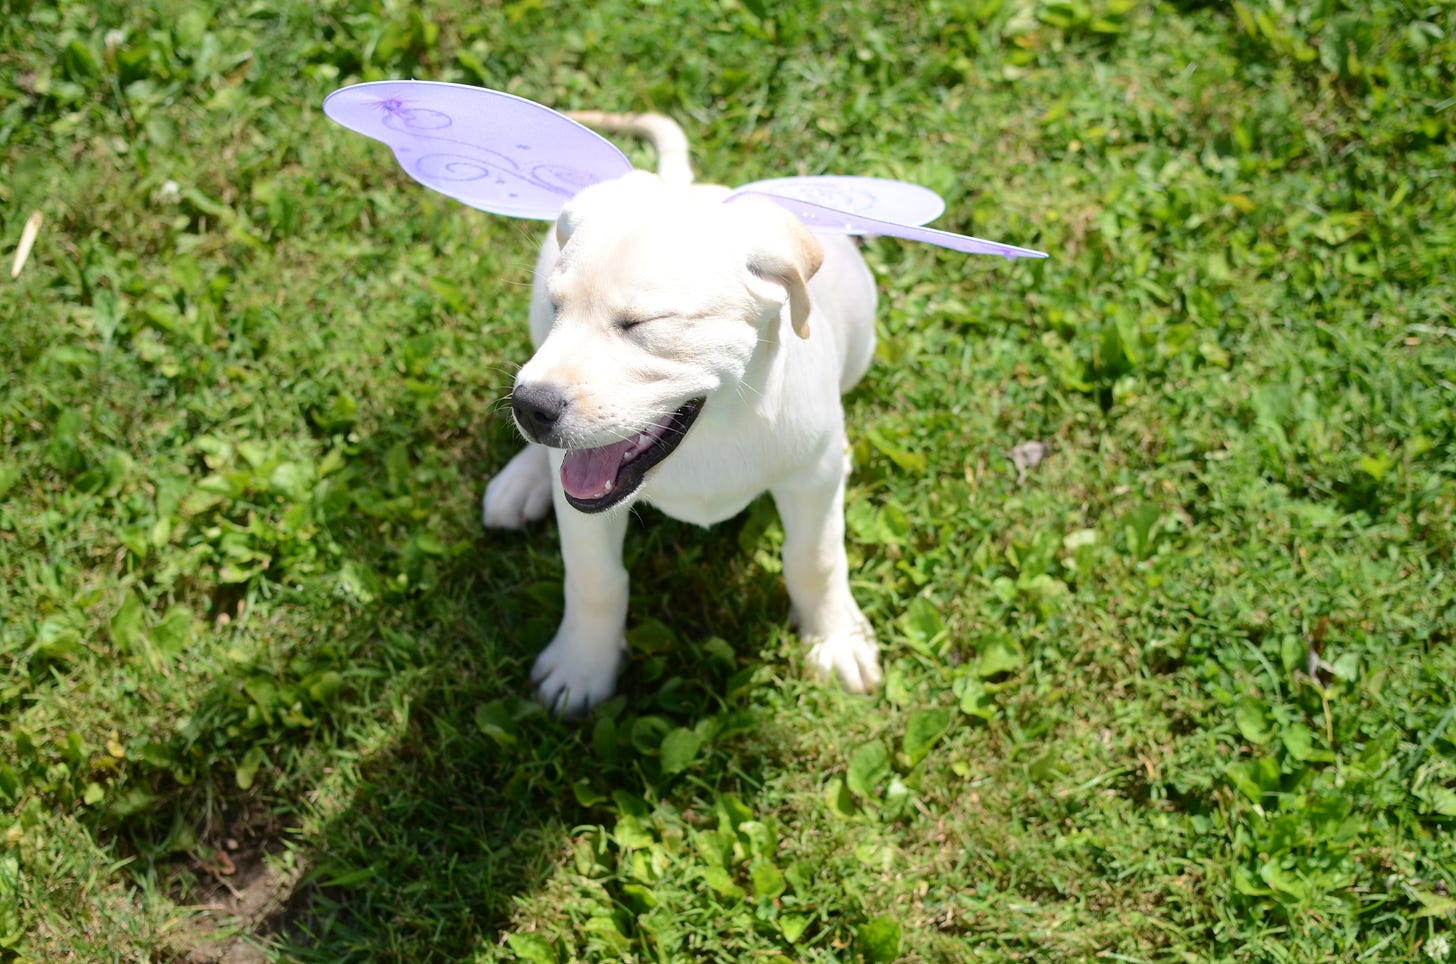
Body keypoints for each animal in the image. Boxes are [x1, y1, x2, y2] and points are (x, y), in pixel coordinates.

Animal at [483, 113, 879, 716]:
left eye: (640, 324)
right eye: (559, 309)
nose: (529, 407)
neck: (712, 436)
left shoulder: (810, 482)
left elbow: (816, 558)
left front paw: (835, 638)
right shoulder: (585, 513)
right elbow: (594, 579)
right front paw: (582, 666)